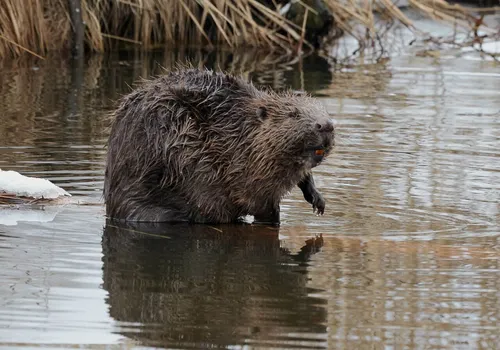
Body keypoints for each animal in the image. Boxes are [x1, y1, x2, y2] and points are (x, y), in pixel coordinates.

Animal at [103, 67, 334, 223]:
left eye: (322, 109)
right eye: (293, 114)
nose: (326, 125)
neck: (241, 131)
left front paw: (318, 201)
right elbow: (258, 203)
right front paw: (275, 217)